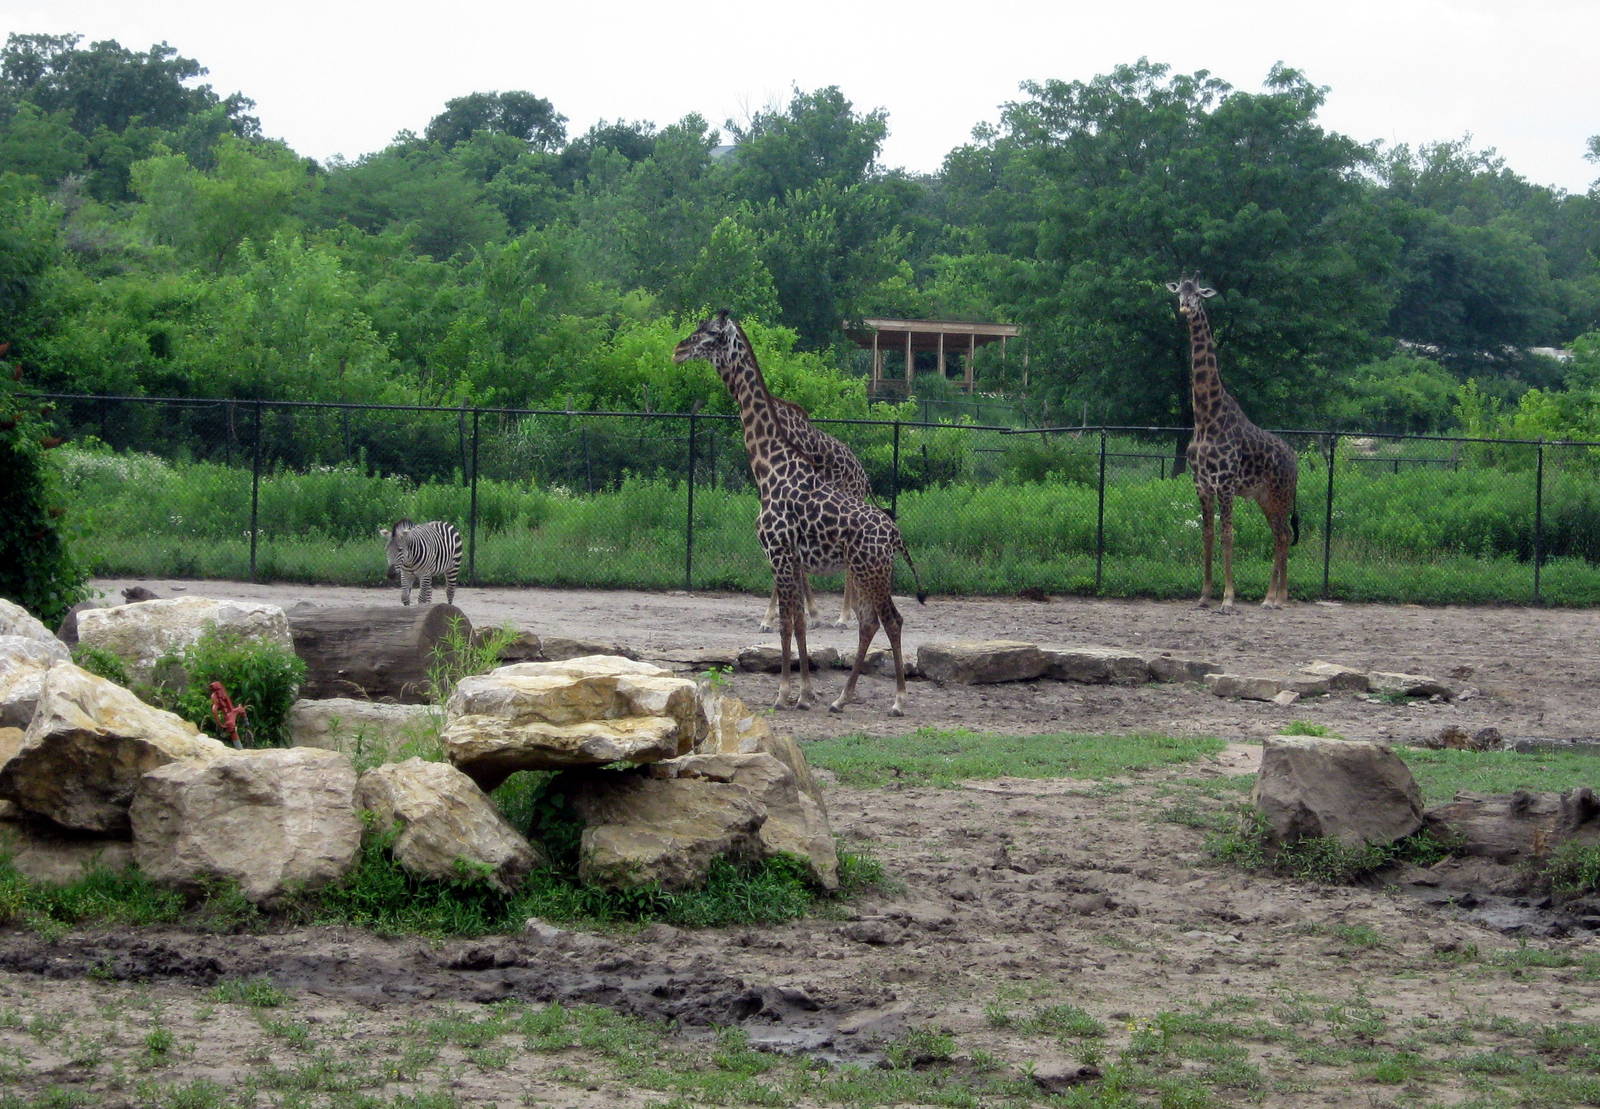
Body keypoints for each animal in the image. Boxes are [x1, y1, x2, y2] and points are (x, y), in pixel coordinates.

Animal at [1167, 277, 1299, 610]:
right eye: (1179, 293)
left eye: (1199, 295)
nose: (1185, 308)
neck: (1206, 418)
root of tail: (1295, 460)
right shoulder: (1202, 485)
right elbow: (1208, 535)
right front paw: (1203, 596)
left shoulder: (1225, 484)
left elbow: (1228, 535)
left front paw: (1228, 599)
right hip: (1265, 497)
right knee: (1280, 534)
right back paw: (1274, 596)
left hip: (1281, 493)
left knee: (1283, 534)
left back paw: (1276, 598)